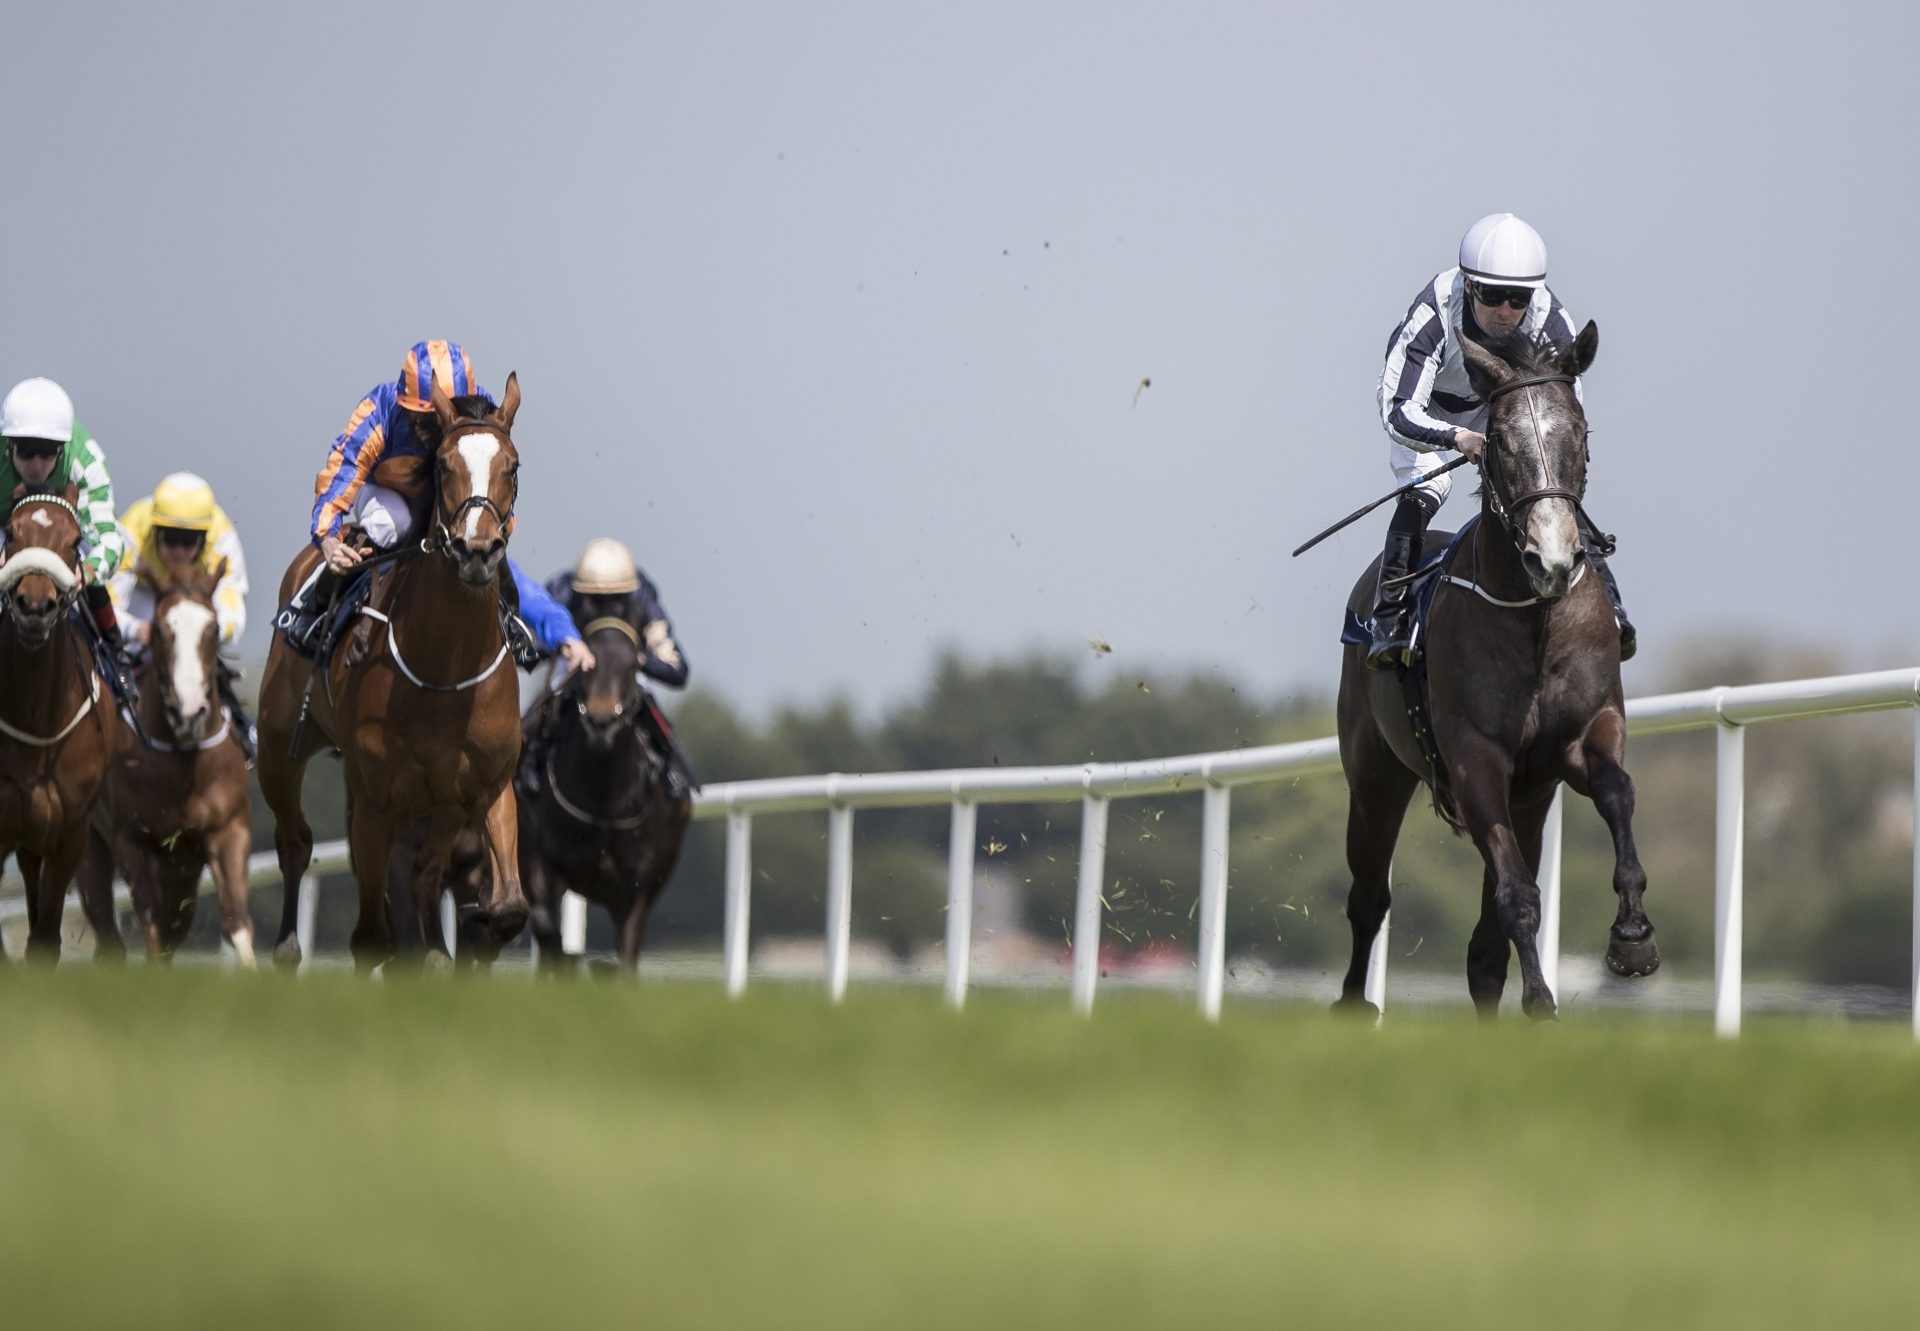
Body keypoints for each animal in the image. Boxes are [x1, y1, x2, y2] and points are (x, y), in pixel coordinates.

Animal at [78, 560, 257, 964]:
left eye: (213, 628)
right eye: (159, 630)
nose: (188, 711)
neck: (183, 762)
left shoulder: (227, 830)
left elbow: (237, 923)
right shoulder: (134, 841)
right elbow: (154, 932)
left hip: (184, 866)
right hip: (92, 840)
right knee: (107, 930)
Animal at [257, 370, 533, 964]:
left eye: (513, 466)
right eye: (443, 465)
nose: (478, 550)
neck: (445, 666)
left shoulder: (488, 785)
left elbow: (508, 908)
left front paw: (470, 939)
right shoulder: (375, 800)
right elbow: (369, 936)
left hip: (440, 807)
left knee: (426, 876)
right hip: (278, 744)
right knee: (295, 842)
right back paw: (288, 947)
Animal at [518, 610, 691, 964]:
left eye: (631, 667)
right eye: (586, 666)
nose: (601, 721)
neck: (603, 799)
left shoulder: (636, 889)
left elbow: (628, 952)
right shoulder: (537, 856)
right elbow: (545, 925)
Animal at [1336, 322, 1651, 1014]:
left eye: (1579, 432)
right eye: (1501, 439)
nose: (1552, 559)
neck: (1533, 619)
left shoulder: (1583, 736)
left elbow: (1617, 792)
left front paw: (1633, 934)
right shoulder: (1475, 760)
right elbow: (1516, 895)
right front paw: (1541, 1002)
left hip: (1528, 800)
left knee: (1483, 949)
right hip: (1375, 778)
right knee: (1368, 898)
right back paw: (1352, 1003)